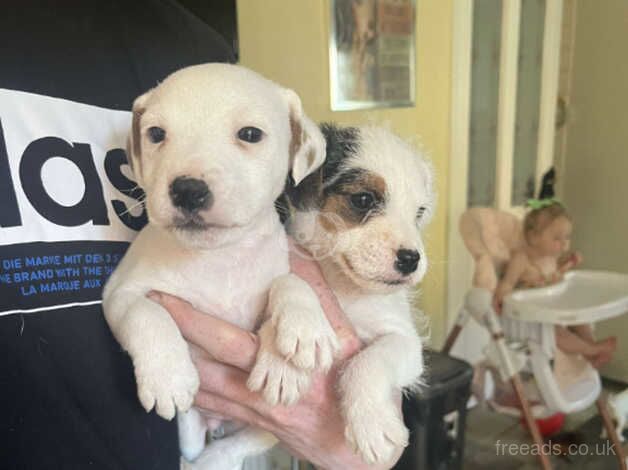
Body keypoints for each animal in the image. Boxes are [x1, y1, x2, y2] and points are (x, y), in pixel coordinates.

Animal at [102, 63, 338, 470]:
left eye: (250, 134)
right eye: (156, 134)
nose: (187, 190)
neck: (218, 258)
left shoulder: (275, 270)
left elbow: (290, 284)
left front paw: (295, 344)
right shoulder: (119, 291)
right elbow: (144, 312)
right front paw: (167, 375)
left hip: (269, 430)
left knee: (236, 447)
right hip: (189, 429)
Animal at [278, 123, 432, 464]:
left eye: (418, 213)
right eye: (363, 199)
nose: (411, 259)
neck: (344, 285)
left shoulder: (405, 341)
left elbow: (368, 361)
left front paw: (371, 422)